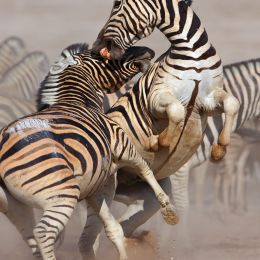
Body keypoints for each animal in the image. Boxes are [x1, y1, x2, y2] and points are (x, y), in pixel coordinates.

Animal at [0, 44, 177, 260]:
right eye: (103, 55)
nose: (148, 51)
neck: (79, 99)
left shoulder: (96, 187)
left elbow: (112, 228)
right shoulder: (122, 144)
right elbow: (145, 169)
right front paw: (167, 207)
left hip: (13, 204)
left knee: (32, 239)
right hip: (61, 194)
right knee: (43, 233)